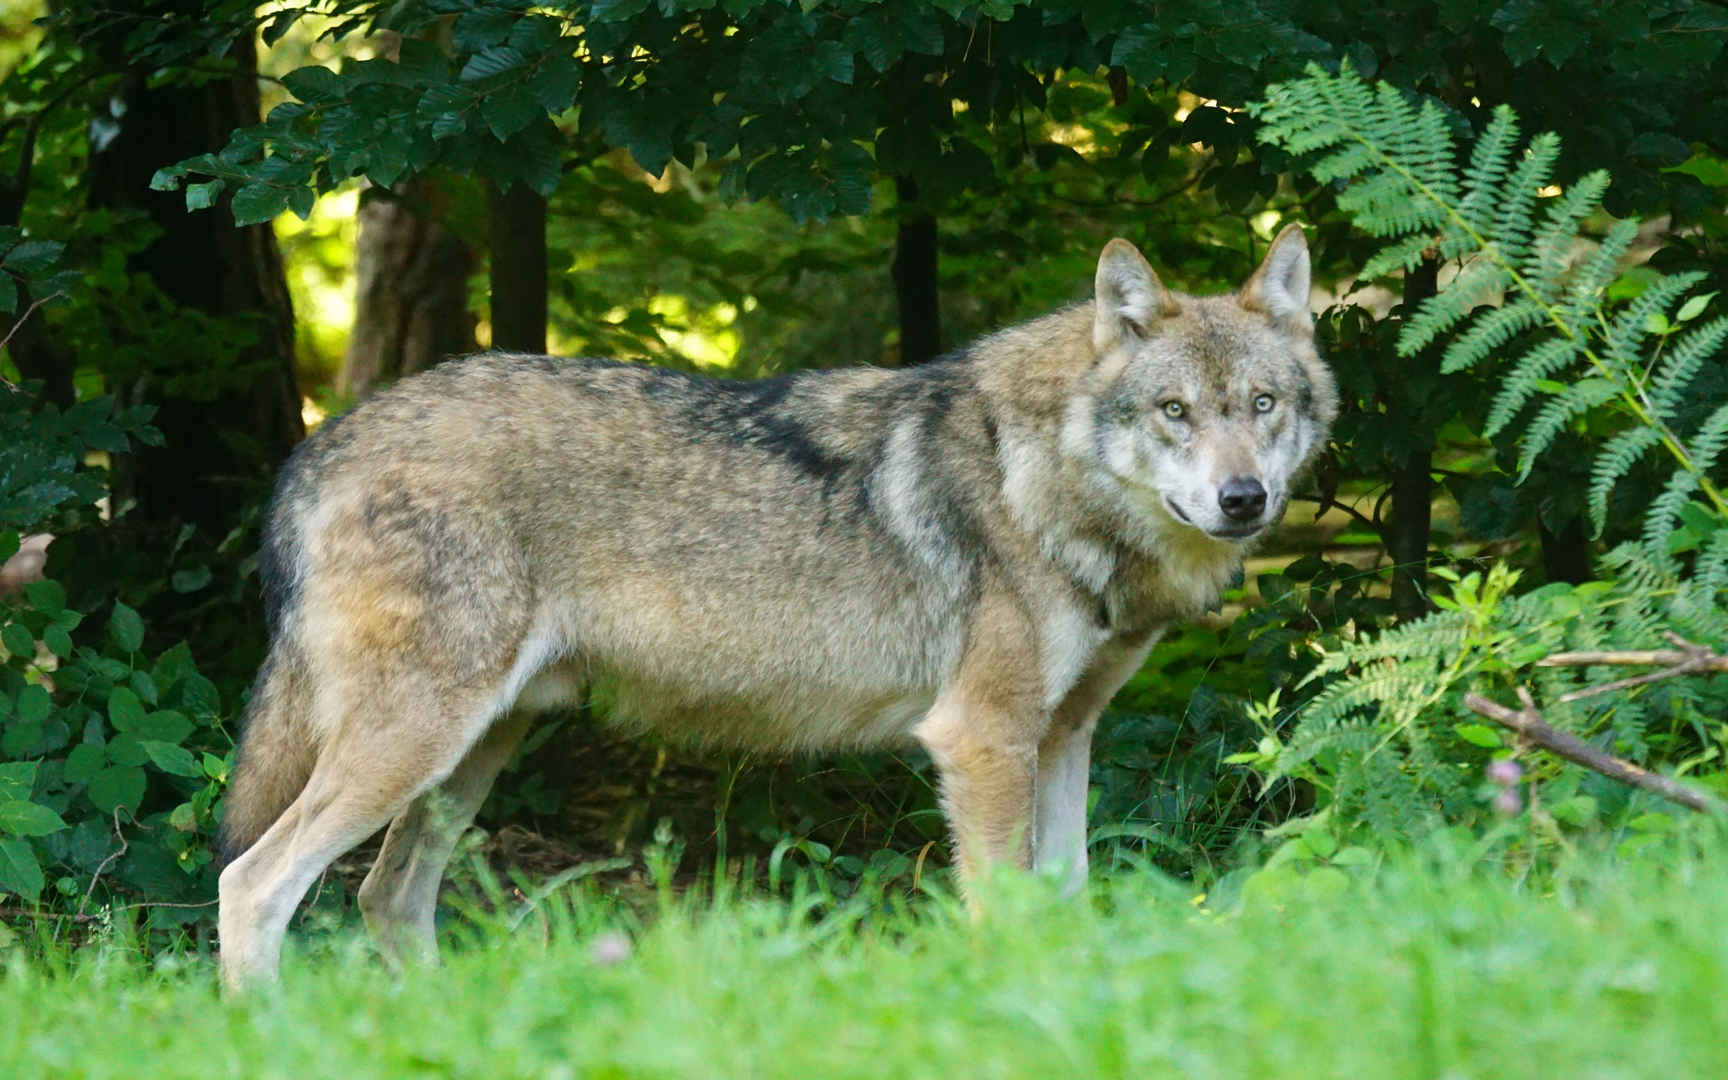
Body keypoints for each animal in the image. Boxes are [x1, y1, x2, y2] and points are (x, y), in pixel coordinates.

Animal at [209, 224, 1327, 988]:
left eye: (1262, 406)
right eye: (1175, 412)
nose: (1242, 499)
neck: (1041, 478)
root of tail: (320, 443)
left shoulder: (1063, 737)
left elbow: (1069, 900)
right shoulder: (982, 739)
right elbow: (1005, 914)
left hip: (470, 755)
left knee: (386, 897)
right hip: (416, 745)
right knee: (253, 884)